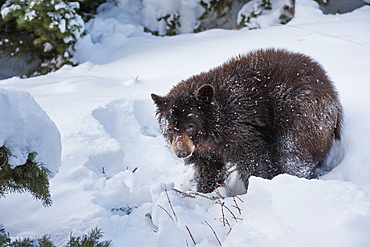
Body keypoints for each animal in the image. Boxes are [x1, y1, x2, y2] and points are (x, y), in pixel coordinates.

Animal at [152, 48, 342, 193]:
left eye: (190, 126)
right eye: (170, 127)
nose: (181, 152)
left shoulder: (240, 128)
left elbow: (254, 160)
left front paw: (256, 187)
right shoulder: (206, 151)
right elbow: (209, 169)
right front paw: (205, 191)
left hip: (300, 114)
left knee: (293, 154)